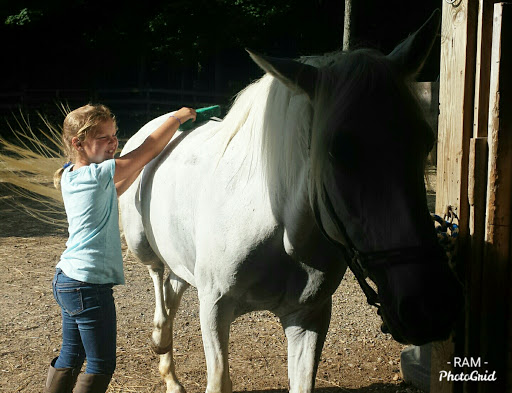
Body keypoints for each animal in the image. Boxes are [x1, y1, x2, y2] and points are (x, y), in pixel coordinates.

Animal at [119, 9, 460, 392]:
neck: (278, 230)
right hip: (143, 247)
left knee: (173, 286)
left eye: (426, 141)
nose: (431, 308)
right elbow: (219, 379)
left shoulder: (308, 318)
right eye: (337, 151)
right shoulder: (214, 308)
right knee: (158, 281)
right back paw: (163, 347)